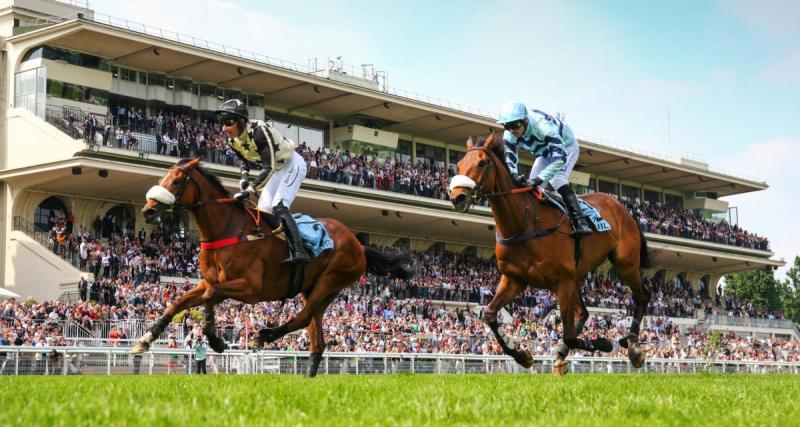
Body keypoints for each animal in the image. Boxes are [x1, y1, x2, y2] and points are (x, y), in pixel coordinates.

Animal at [132, 160, 416, 378]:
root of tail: (358, 243)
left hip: (331, 279)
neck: (228, 230)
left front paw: (214, 337)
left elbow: (210, 296)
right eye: (162, 178)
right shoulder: (211, 281)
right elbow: (181, 301)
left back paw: (264, 336)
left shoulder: (251, 289)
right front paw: (146, 339)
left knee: (303, 318)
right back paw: (308, 374)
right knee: (317, 336)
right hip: (317, 291)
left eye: (177, 181)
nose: (148, 211)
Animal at [450, 135, 648, 376]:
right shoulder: (514, 278)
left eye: (481, 163)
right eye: (459, 164)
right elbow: (489, 314)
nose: (457, 197)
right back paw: (561, 357)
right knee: (584, 313)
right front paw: (521, 354)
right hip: (577, 275)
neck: (523, 222)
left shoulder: (562, 281)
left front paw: (604, 342)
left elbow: (570, 335)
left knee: (642, 296)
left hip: (624, 263)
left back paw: (634, 347)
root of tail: (623, 207)